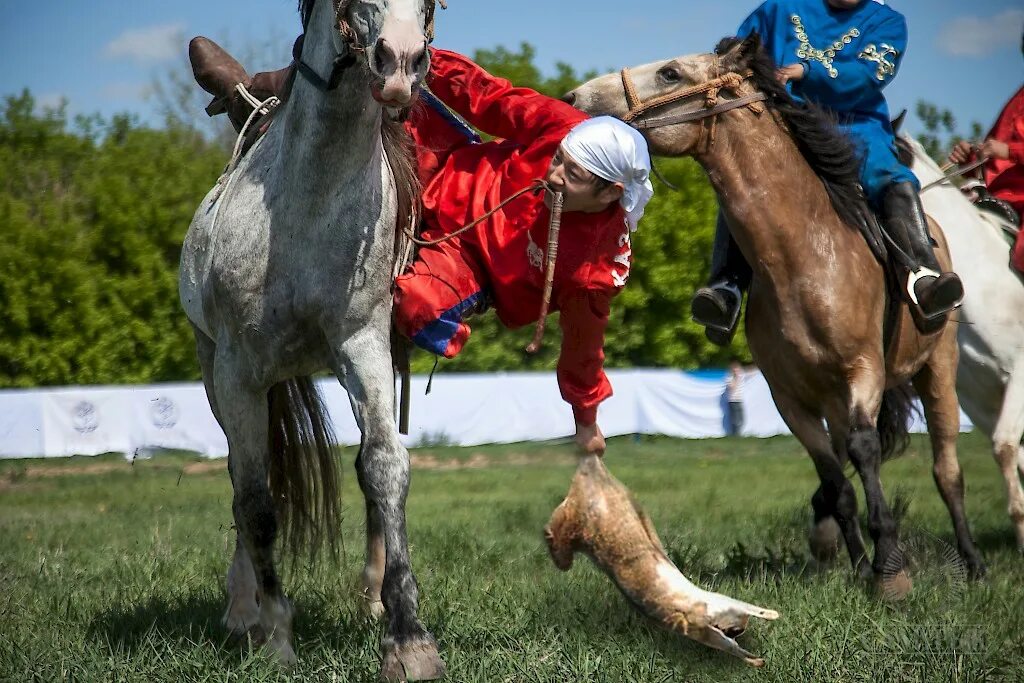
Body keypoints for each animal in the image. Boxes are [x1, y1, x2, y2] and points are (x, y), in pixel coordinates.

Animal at [176, 0, 444, 675]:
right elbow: (257, 501)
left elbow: (383, 467)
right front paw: (276, 636)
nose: (400, 62)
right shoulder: (239, 373)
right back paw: (242, 610)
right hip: (216, 371)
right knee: (241, 479)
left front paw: (408, 640)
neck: (307, 206)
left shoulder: (364, 346)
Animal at [565, 37, 987, 589]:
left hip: (937, 369)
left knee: (947, 470)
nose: (576, 98)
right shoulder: (789, 395)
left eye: (671, 73)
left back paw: (973, 561)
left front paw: (890, 570)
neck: (803, 259)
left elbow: (865, 450)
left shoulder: (864, 371)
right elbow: (835, 477)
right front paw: (859, 564)